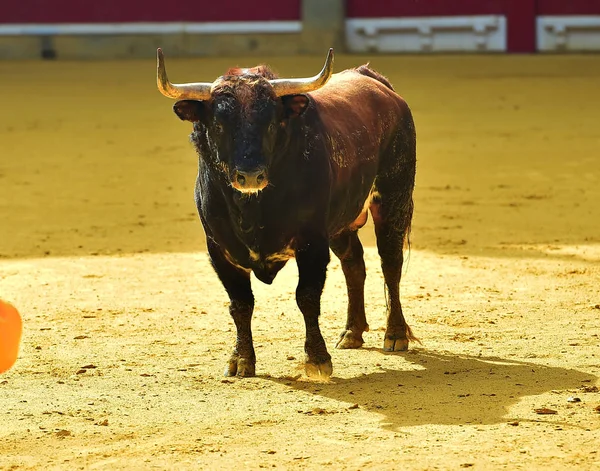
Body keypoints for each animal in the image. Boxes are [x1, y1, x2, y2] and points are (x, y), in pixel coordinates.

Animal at [157, 48, 414, 380]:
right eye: (219, 125)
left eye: (270, 123)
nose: (250, 175)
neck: (253, 210)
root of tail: (376, 82)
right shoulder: (218, 249)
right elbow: (240, 303)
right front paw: (241, 360)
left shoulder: (312, 243)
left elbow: (307, 296)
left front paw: (317, 359)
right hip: (341, 223)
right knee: (354, 264)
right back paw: (352, 333)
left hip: (394, 199)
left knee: (391, 264)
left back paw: (395, 334)